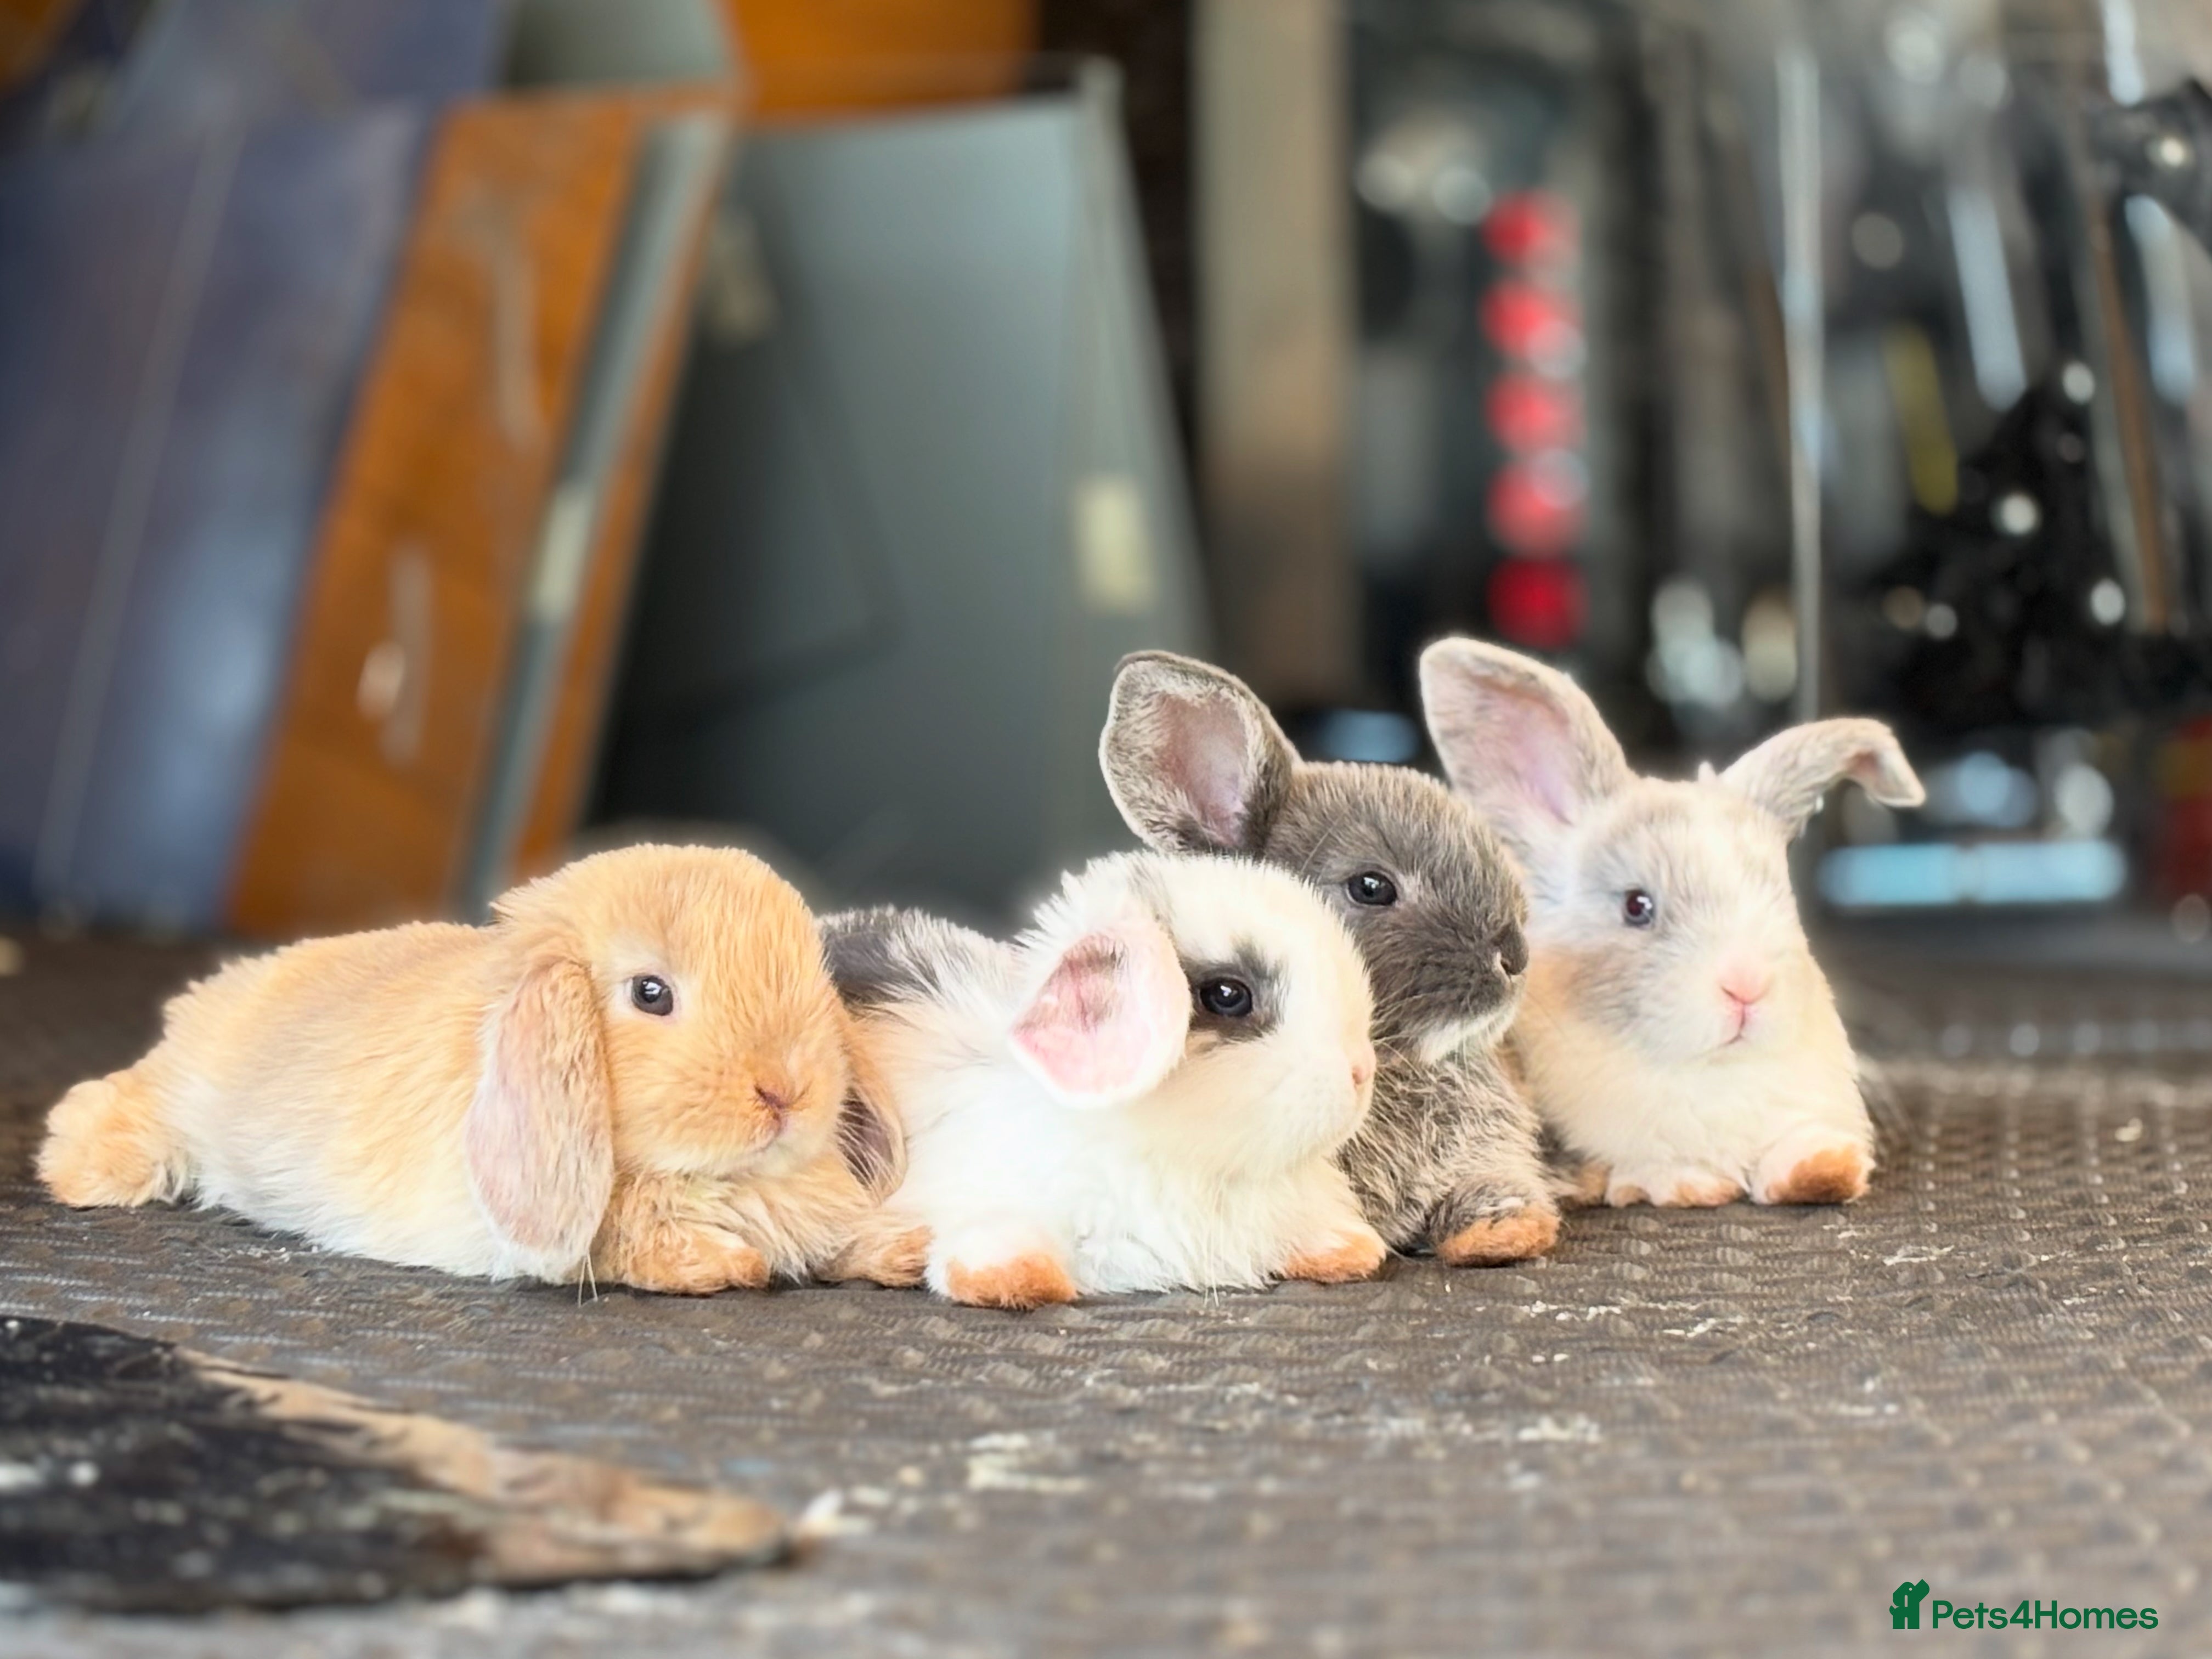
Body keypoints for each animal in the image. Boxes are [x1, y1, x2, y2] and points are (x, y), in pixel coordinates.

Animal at [37, 845, 903, 1292]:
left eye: (816, 976)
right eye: (650, 993)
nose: (786, 1093)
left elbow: (838, 1239)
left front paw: (900, 1251)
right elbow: (640, 1249)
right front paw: (732, 1266)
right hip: (182, 1098)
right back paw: (75, 1167)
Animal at [1418, 637, 1926, 1208]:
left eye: (1781, 894)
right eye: (1636, 906)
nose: (1747, 986)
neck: (1708, 1071)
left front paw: (1824, 1169)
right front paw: (1693, 1185)